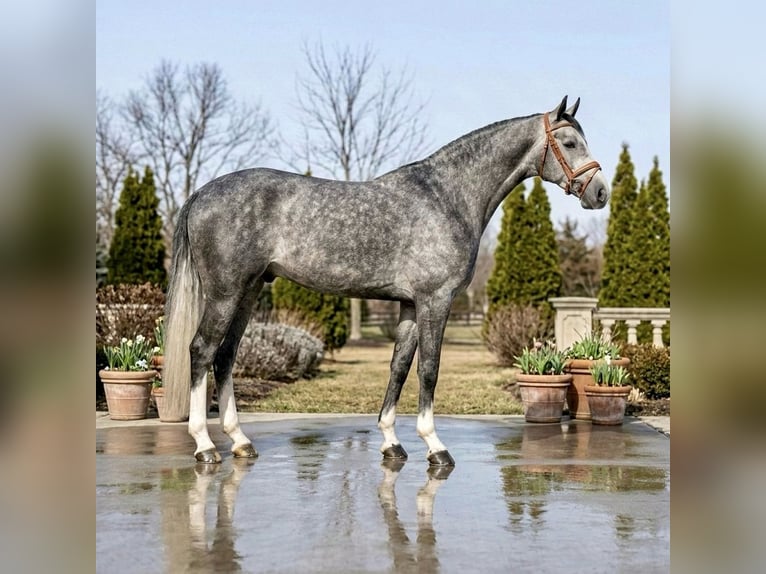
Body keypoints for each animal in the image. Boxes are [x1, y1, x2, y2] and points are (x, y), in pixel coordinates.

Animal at [162, 95, 610, 466]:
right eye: (570, 143)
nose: (601, 192)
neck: (448, 196)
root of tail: (202, 193)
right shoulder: (435, 300)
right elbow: (428, 369)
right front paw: (435, 446)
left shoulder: (410, 304)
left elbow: (399, 367)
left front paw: (392, 443)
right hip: (225, 292)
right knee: (201, 351)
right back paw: (204, 445)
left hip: (250, 289)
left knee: (226, 356)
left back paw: (240, 441)